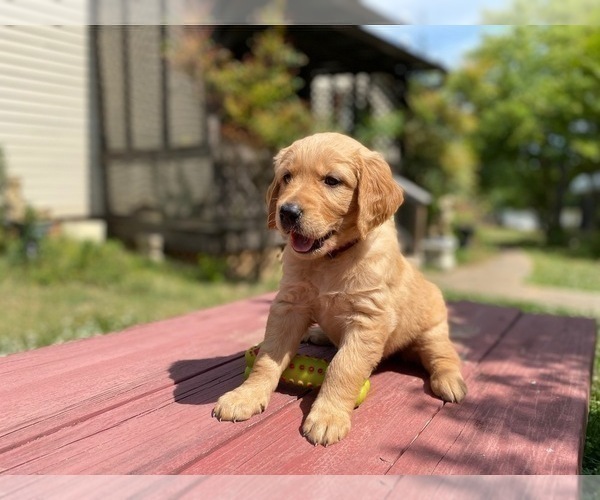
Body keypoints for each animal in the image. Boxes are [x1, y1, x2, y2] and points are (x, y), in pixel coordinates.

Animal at [213, 132, 466, 446]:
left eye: (332, 181)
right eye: (286, 177)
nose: (287, 212)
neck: (330, 259)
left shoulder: (368, 319)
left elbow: (343, 367)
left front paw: (327, 416)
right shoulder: (289, 306)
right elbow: (267, 357)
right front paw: (245, 396)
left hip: (432, 331)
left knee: (444, 355)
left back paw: (450, 381)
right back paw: (319, 334)